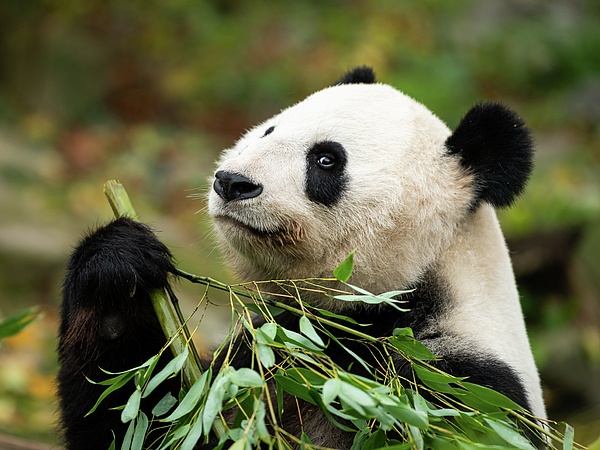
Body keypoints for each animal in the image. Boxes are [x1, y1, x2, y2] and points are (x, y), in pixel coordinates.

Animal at [58, 67, 548, 450]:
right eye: (269, 131)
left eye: (326, 160)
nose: (232, 182)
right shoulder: (259, 354)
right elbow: (138, 417)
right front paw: (118, 266)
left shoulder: (455, 388)